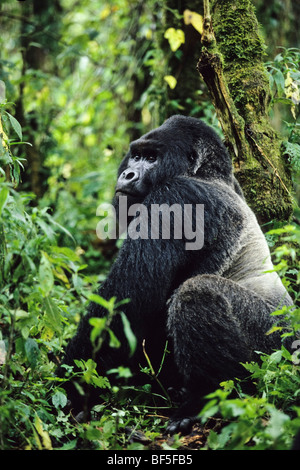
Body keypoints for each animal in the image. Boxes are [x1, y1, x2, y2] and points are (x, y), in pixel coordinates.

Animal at [59, 114, 294, 434]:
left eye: (151, 158)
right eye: (135, 155)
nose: (128, 174)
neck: (208, 174)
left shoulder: (175, 197)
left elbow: (129, 301)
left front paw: (72, 384)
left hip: (277, 348)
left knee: (196, 293)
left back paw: (204, 401)